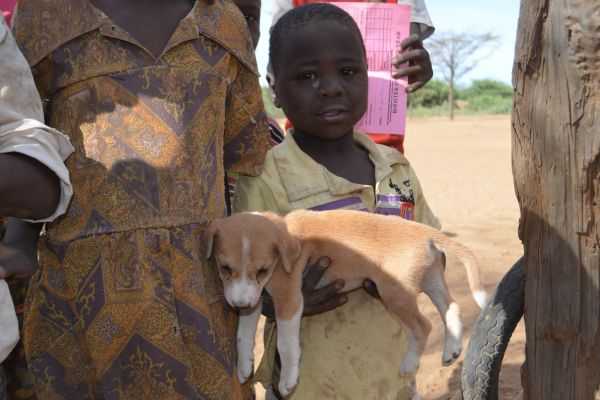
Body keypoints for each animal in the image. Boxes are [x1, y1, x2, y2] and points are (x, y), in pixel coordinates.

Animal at [206, 209, 488, 396]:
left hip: (395, 292)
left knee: (423, 326)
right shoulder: (255, 298)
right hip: (431, 279)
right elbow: (243, 334)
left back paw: (409, 363)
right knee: (451, 307)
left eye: (262, 270)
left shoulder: (289, 298)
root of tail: (425, 233)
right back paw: (452, 349)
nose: (239, 304)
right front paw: (244, 367)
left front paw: (287, 381)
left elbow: (286, 346)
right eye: (225, 268)